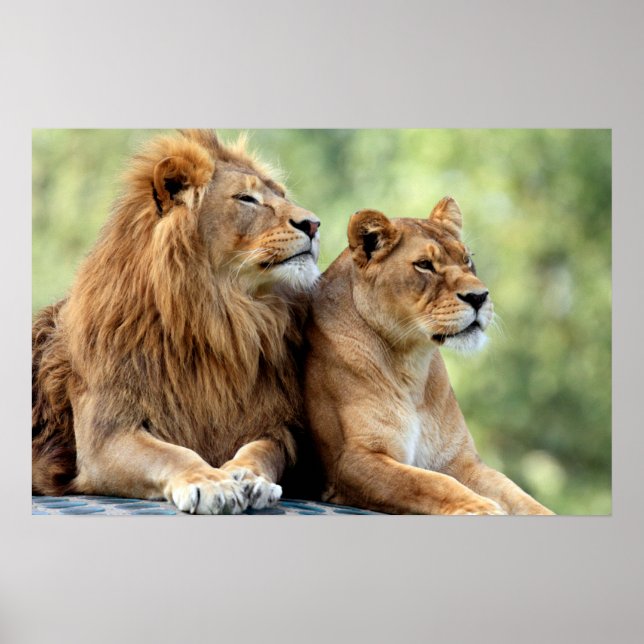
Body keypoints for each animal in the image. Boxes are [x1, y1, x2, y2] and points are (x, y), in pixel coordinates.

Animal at [32, 129, 321, 514]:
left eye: (283, 196)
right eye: (246, 199)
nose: (314, 224)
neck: (222, 318)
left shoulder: (274, 425)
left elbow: (262, 451)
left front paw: (249, 477)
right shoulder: (105, 437)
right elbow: (172, 454)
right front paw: (211, 483)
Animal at [304, 198, 554, 515]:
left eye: (467, 259)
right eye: (424, 265)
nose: (479, 297)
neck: (411, 363)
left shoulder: (459, 459)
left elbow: (516, 493)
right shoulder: (351, 461)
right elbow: (429, 482)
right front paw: (481, 507)